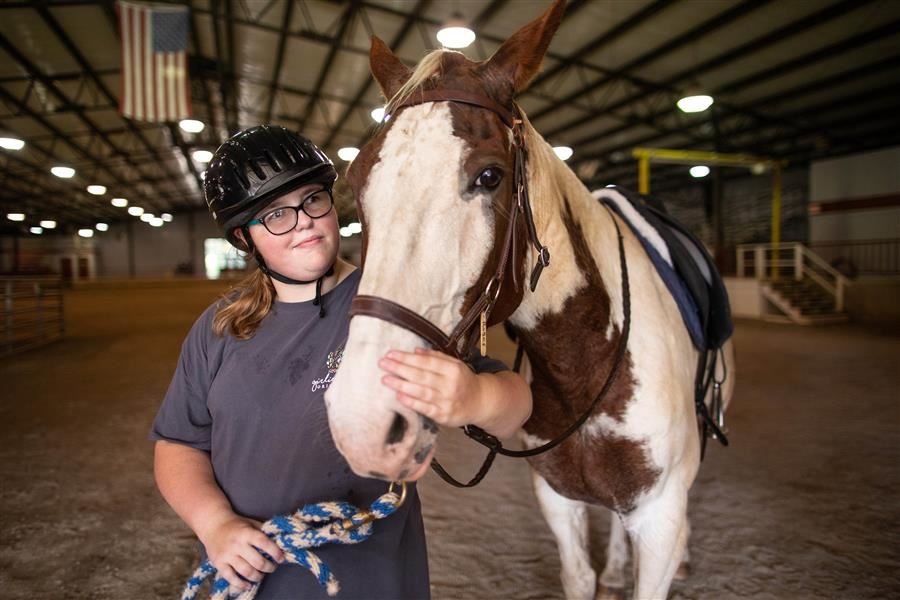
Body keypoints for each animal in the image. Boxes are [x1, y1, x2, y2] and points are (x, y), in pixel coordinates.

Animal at [326, 2, 736, 596]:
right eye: (357, 184)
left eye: (489, 175)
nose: (361, 421)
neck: (586, 359)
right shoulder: (559, 503)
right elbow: (580, 574)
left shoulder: (659, 521)